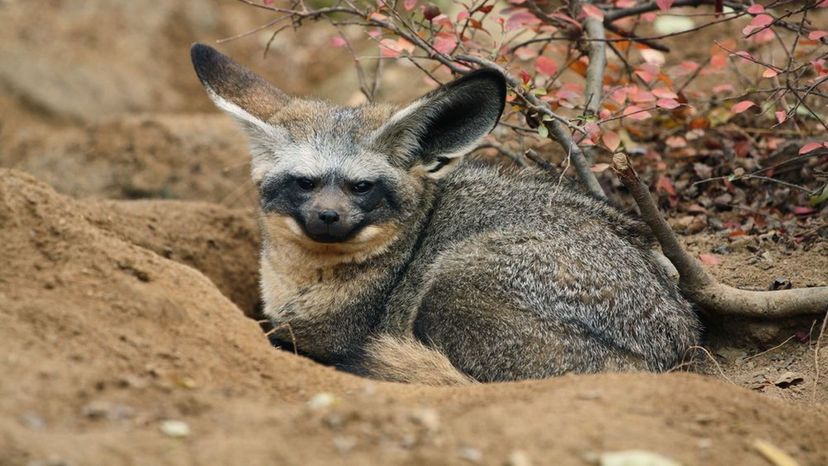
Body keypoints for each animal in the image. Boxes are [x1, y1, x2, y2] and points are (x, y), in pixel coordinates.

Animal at [192, 43, 700, 386]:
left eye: (361, 187)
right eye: (304, 183)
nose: (327, 217)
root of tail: (672, 344)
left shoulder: (334, 334)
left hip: (450, 281)